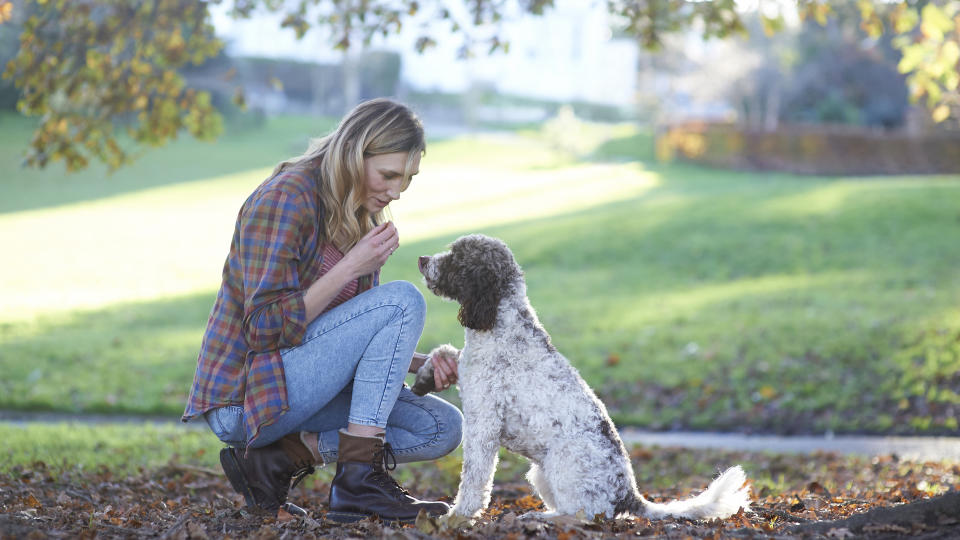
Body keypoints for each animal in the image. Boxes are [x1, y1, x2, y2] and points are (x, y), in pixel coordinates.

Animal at [414, 235, 752, 524]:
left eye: (456, 256)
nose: (421, 259)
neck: (501, 323)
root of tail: (628, 495)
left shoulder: (484, 424)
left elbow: (474, 478)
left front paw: (459, 515)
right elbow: (445, 352)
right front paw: (424, 378)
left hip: (562, 463)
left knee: (583, 515)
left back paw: (539, 518)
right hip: (541, 473)